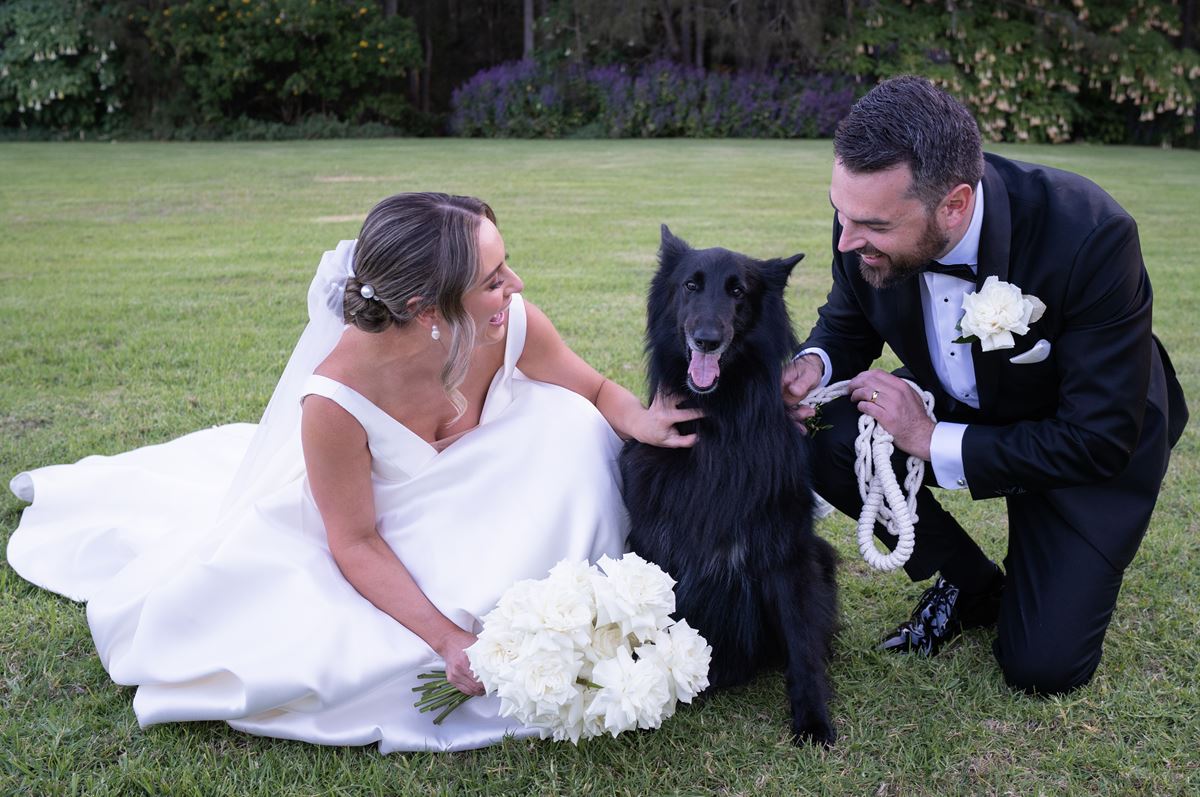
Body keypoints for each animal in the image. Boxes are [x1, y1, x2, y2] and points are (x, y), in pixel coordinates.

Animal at [624, 225, 840, 748]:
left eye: (738, 292)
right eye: (690, 285)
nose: (707, 340)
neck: (719, 422)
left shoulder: (787, 555)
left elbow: (802, 645)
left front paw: (812, 719)